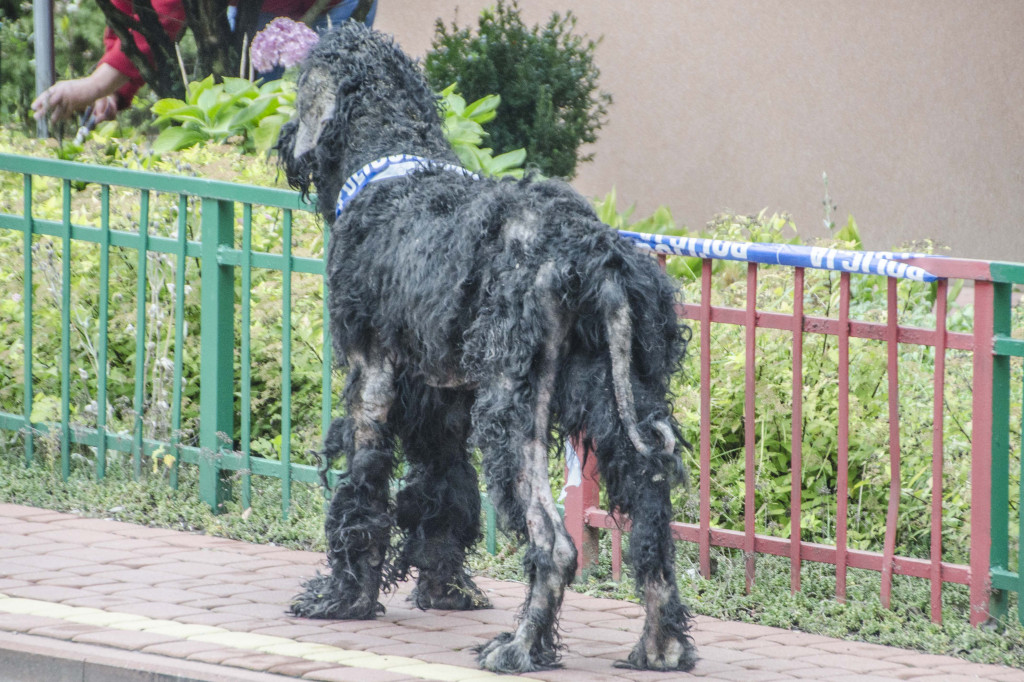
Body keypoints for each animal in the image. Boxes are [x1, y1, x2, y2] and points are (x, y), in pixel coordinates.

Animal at [278, 22, 696, 675]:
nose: (286, 140)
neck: (392, 164)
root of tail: (594, 254)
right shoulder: (440, 396)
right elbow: (444, 489)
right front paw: (446, 590)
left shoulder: (373, 374)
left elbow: (362, 485)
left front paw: (344, 598)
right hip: (617, 397)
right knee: (651, 521)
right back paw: (661, 645)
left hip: (513, 410)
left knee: (554, 542)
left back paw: (520, 646)